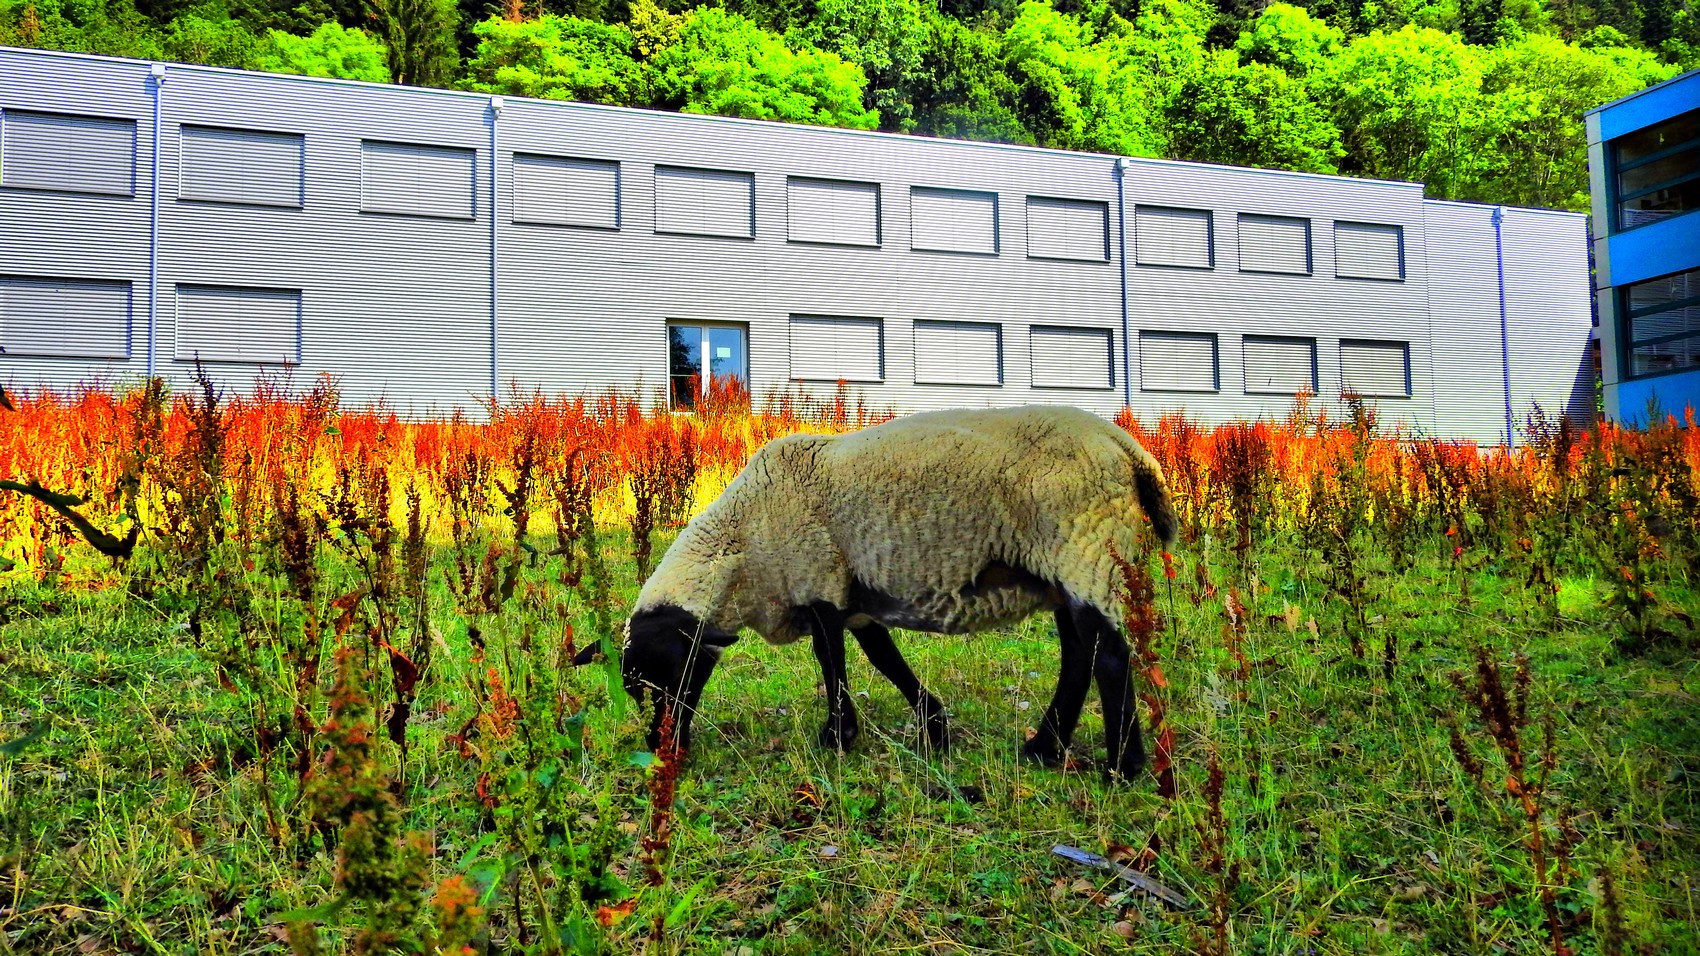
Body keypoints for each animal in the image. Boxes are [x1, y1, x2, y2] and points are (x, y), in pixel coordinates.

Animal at [578, 404, 1176, 779]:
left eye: (665, 677)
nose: (662, 751)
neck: (744, 544)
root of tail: (1127, 448)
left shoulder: (817, 579)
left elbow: (832, 662)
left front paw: (838, 736)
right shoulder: (853, 597)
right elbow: (884, 659)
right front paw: (933, 726)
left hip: (1085, 547)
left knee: (1109, 657)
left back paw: (1121, 768)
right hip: (1063, 570)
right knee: (1079, 654)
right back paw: (1044, 749)